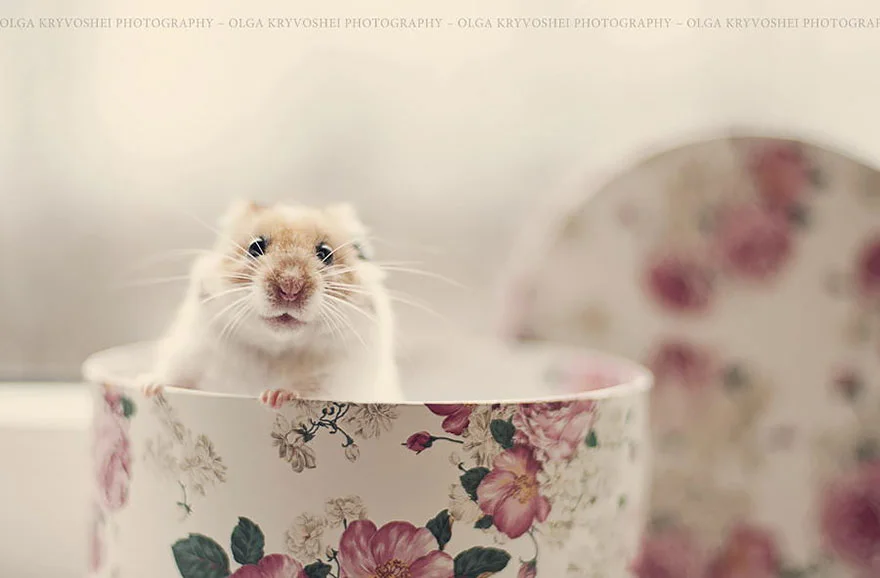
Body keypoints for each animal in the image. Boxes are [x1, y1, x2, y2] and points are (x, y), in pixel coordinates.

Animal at [138, 200, 401, 407]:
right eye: (255, 246)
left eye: (326, 253)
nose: (290, 287)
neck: (276, 348)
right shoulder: (190, 351)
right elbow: (174, 378)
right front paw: (148, 388)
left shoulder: (338, 381)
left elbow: (309, 390)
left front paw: (273, 396)